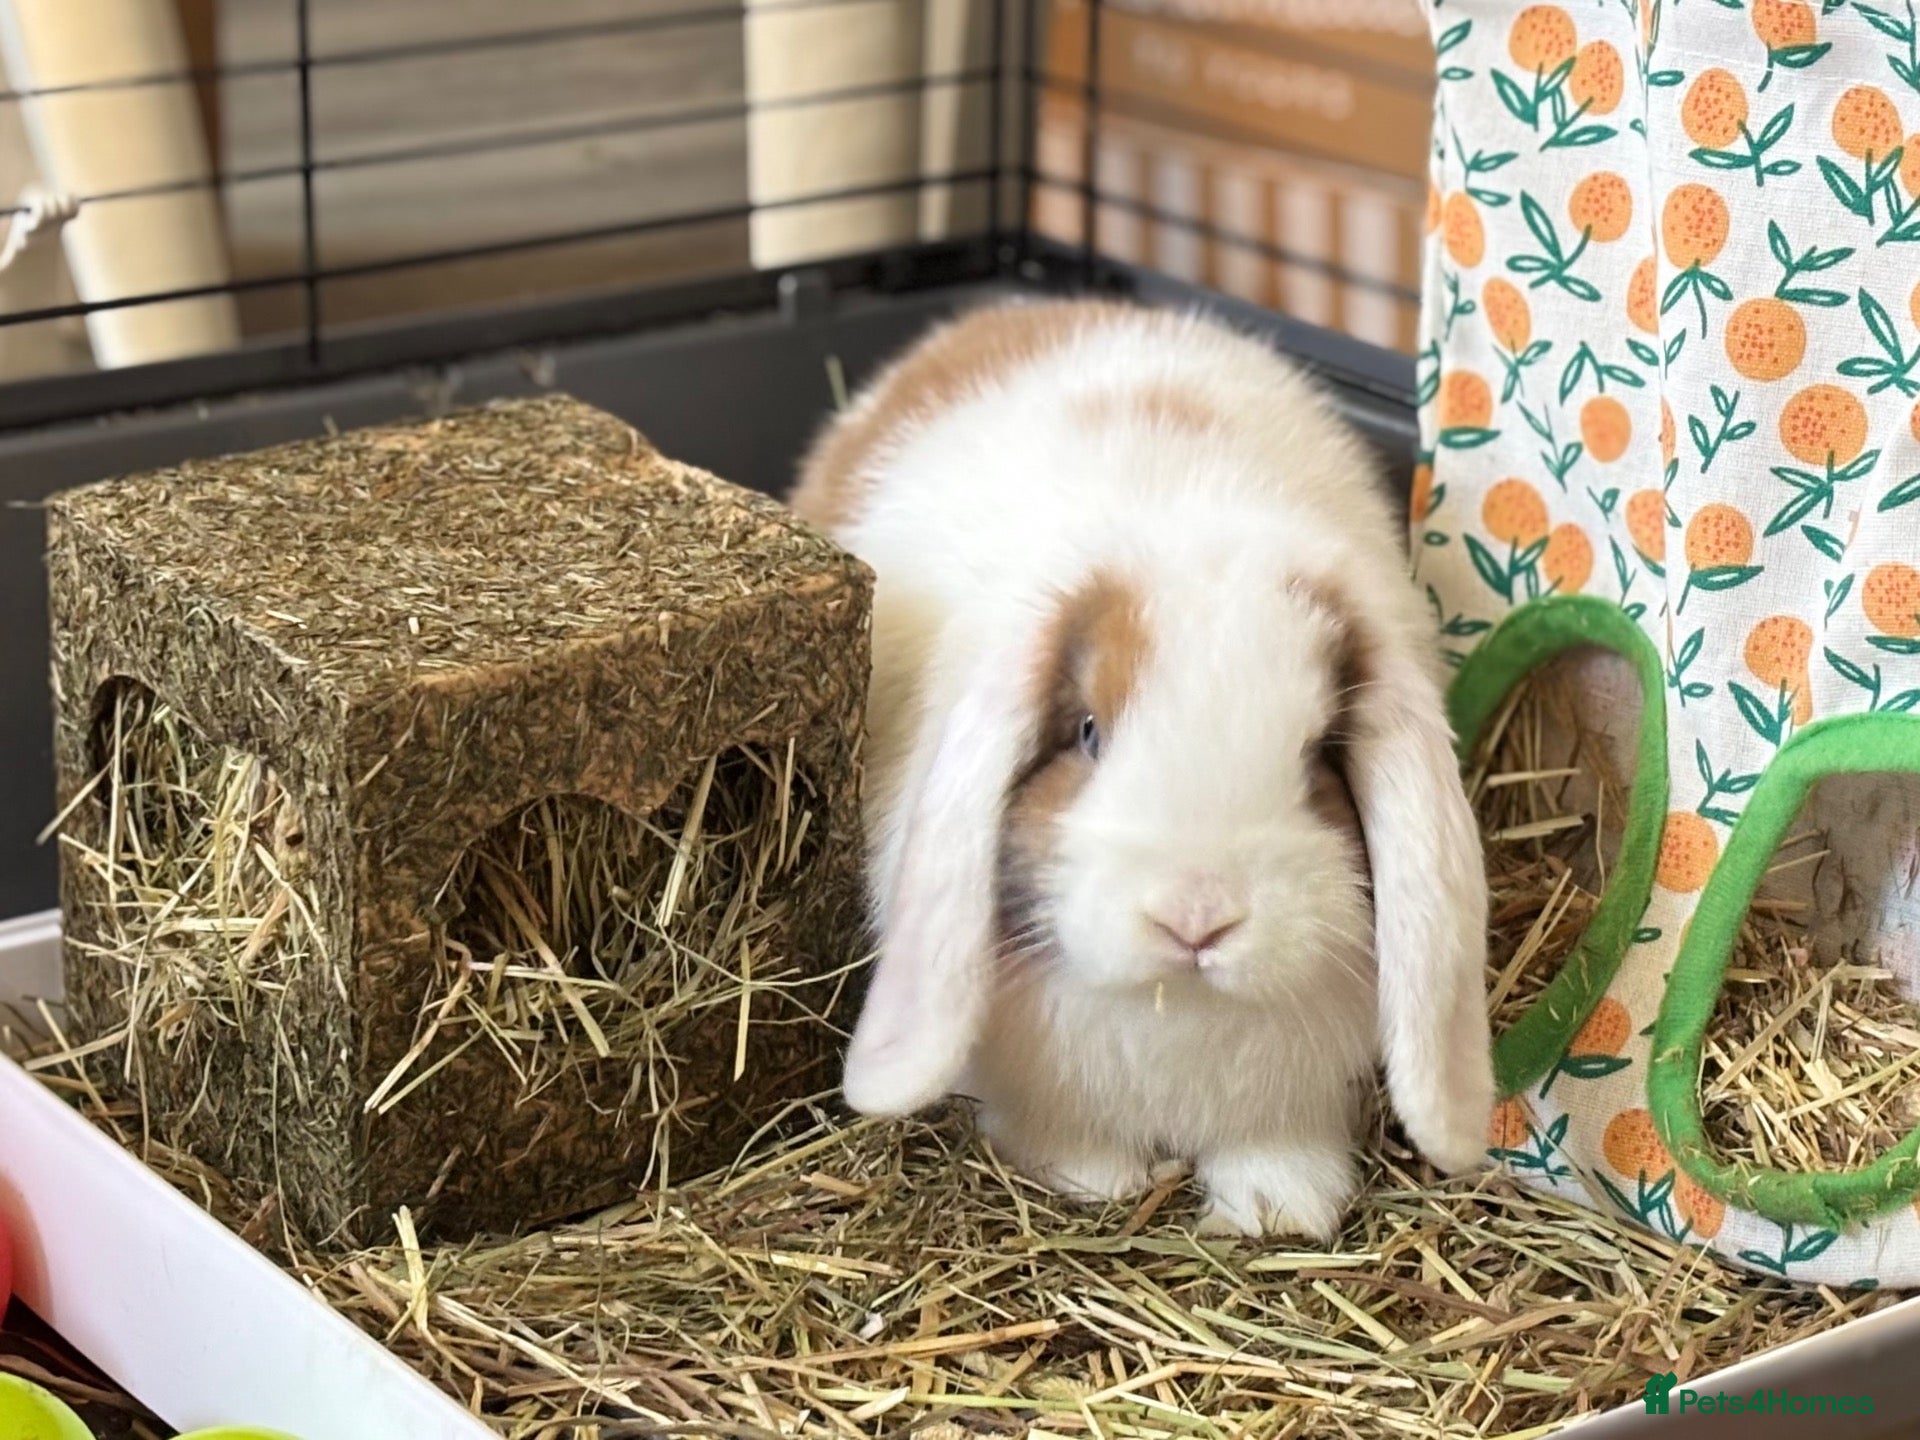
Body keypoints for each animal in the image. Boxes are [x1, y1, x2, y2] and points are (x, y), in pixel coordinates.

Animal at [788, 297, 1494, 1239]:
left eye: (1318, 758)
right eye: (1089, 732)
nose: (1196, 919)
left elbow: (1276, 1150)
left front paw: (1280, 1210)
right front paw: (1094, 1181)